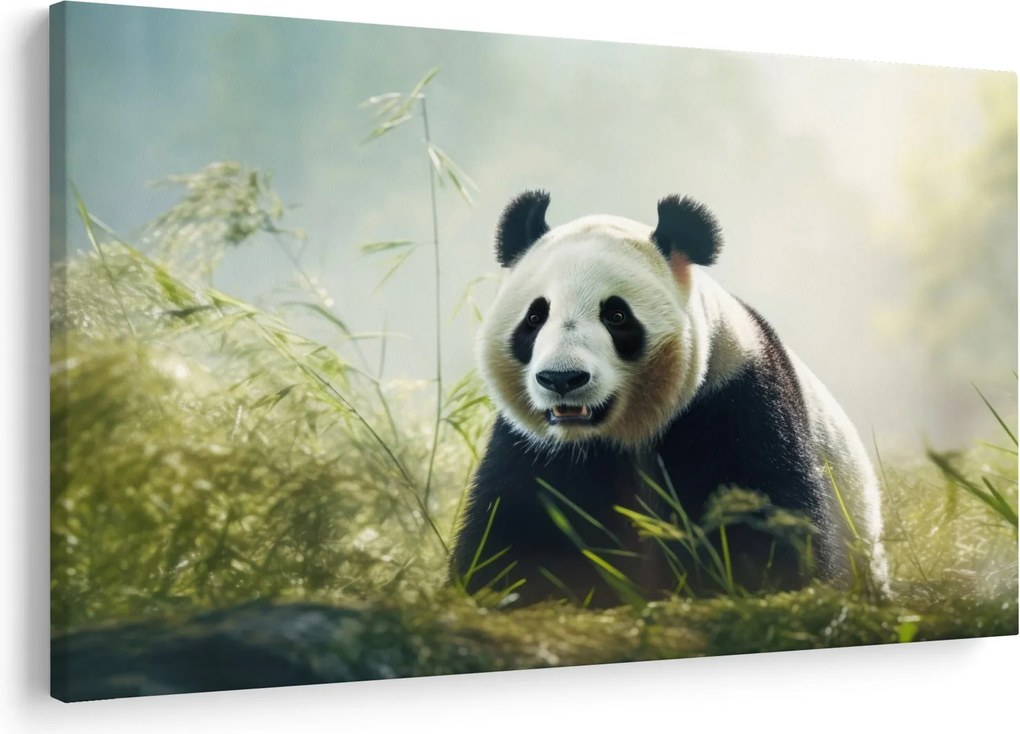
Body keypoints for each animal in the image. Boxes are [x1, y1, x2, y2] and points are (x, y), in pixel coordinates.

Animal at [449, 190, 889, 607]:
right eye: (535, 317)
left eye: (616, 316)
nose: (562, 378)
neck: (625, 431)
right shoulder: (536, 448)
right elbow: (516, 531)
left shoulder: (735, 401)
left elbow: (762, 522)